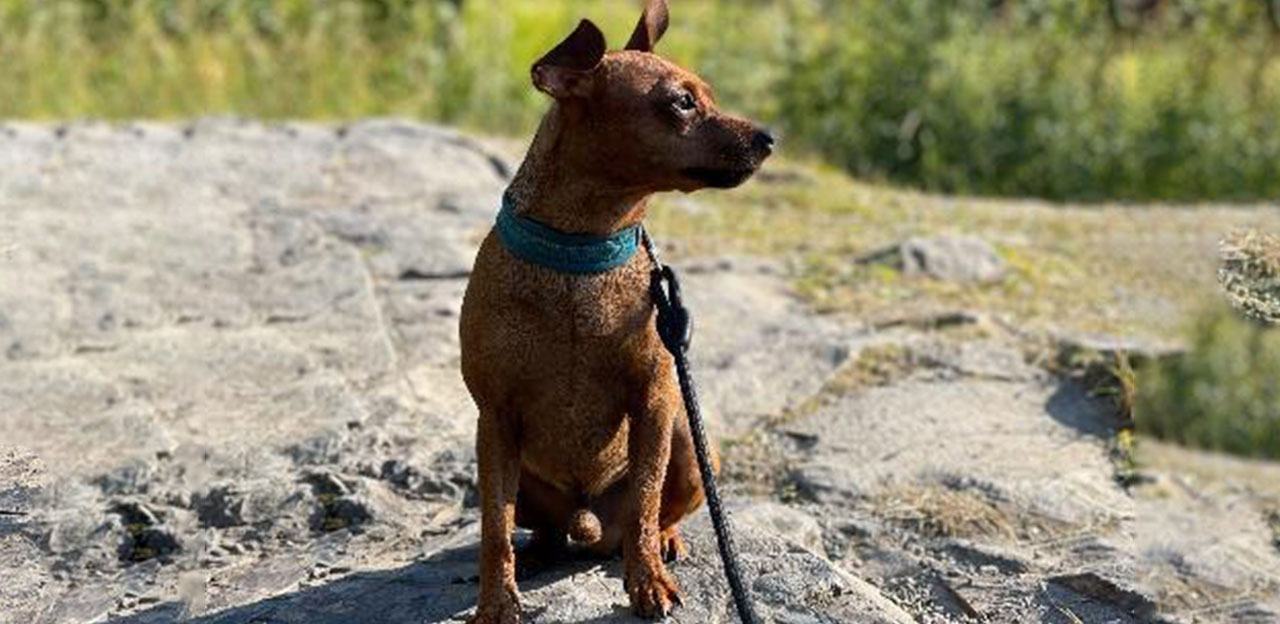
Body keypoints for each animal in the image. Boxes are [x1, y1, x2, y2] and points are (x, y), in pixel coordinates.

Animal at [463, 2, 773, 621]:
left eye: (708, 94)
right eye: (682, 102)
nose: (769, 138)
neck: (580, 257)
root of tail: (589, 526)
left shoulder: (653, 402)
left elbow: (646, 501)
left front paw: (647, 580)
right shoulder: (496, 418)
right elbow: (493, 529)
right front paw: (497, 603)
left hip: (690, 446)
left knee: (650, 515)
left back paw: (663, 541)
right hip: (510, 468)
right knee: (537, 528)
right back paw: (541, 552)